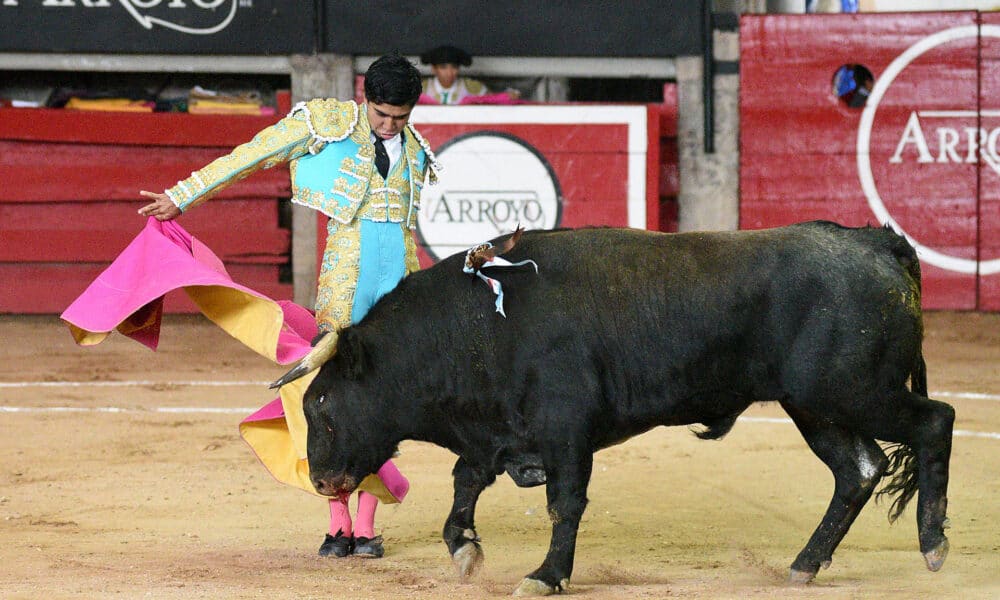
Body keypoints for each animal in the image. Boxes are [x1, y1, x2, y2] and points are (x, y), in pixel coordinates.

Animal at [274, 221, 952, 596]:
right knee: (859, 470)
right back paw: (805, 565)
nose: (319, 479)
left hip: (850, 391)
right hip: (814, 406)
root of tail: (874, 242)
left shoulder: (565, 431)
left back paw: (932, 545)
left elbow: (563, 504)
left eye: (323, 401)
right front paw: (465, 550)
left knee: (933, 422)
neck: (476, 325)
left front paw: (546, 575)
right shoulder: (495, 435)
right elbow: (465, 486)